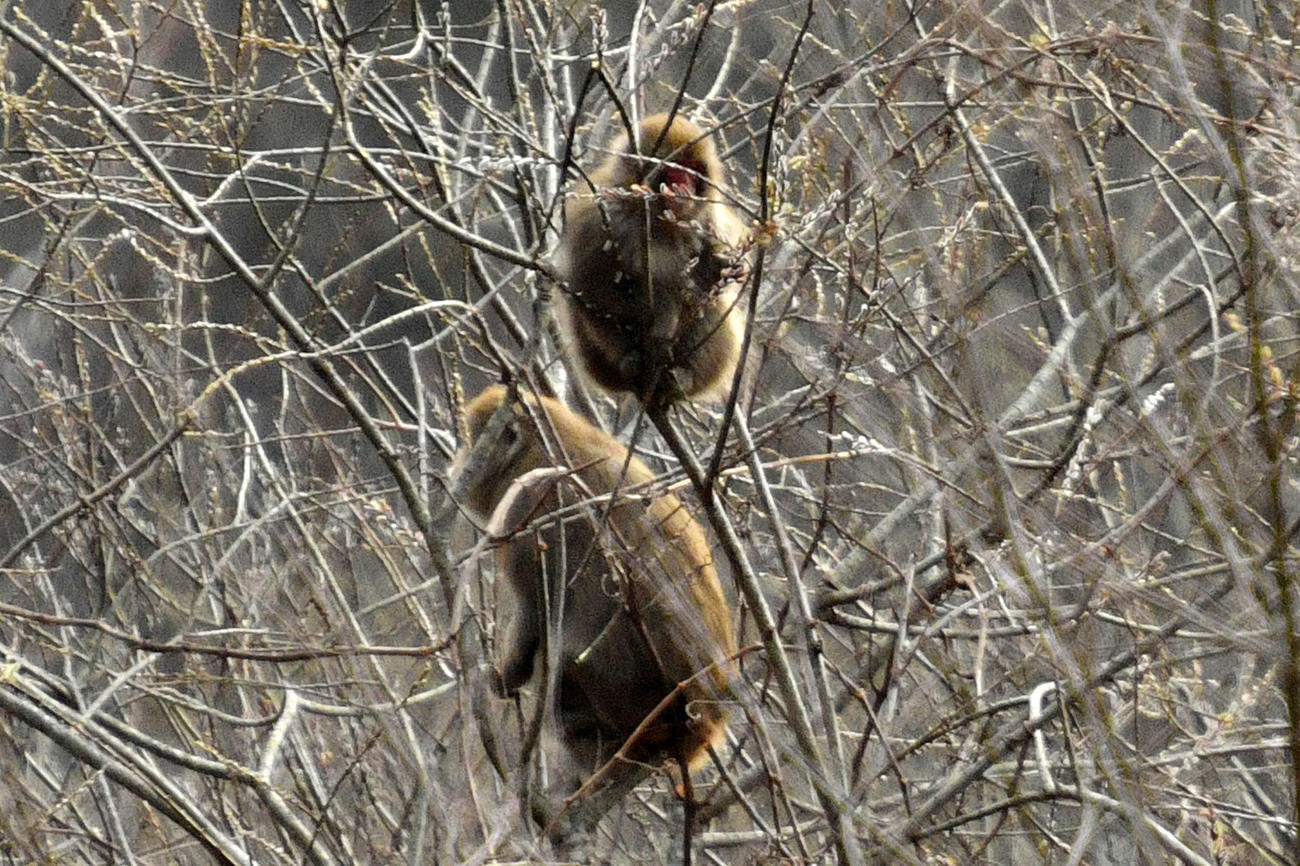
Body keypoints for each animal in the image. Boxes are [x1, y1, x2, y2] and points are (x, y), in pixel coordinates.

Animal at [450, 384, 736, 792]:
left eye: (471, 445)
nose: (456, 467)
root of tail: (703, 721)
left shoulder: (528, 498)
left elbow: (535, 610)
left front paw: (505, 676)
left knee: (565, 659)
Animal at [556, 114, 750, 406]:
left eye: (693, 171)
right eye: (673, 171)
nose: (684, 187)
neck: (658, 222)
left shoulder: (708, 221)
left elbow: (707, 285)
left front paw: (721, 267)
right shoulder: (599, 219)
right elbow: (589, 286)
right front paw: (654, 320)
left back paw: (683, 376)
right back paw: (636, 358)